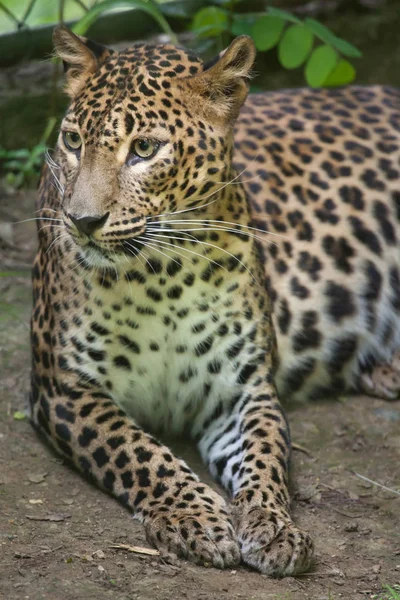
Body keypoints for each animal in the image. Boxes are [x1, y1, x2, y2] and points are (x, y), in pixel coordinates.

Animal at [30, 24, 400, 580]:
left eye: (144, 148)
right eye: (73, 141)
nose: (82, 221)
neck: (160, 277)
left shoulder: (242, 389)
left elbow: (266, 456)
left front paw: (273, 526)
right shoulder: (63, 387)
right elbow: (137, 450)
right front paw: (195, 517)